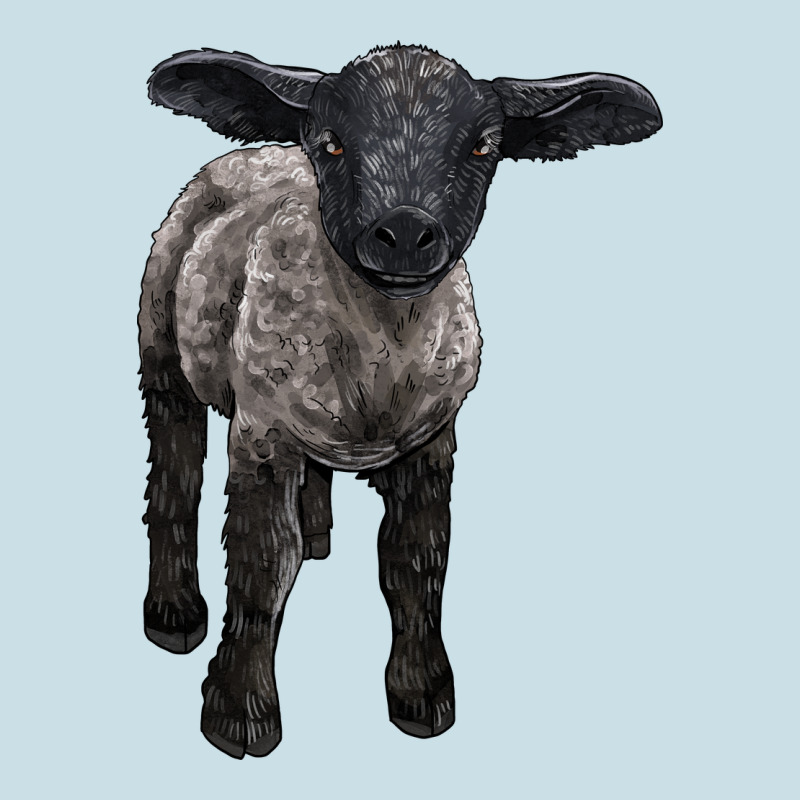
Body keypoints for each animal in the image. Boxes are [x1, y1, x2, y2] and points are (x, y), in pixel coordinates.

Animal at [140, 44, 661, 759]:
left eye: (483, 146)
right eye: (330, 142)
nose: (408, 233)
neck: (379, 356)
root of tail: (258, 152)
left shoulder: (431, 442)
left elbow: (415, 563)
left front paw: (422, 695)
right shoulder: (260, 434)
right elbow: (262, 565)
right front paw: (239, 712)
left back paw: (318, 532)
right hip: (162, 349)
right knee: (175, 470)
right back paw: (173, 612)